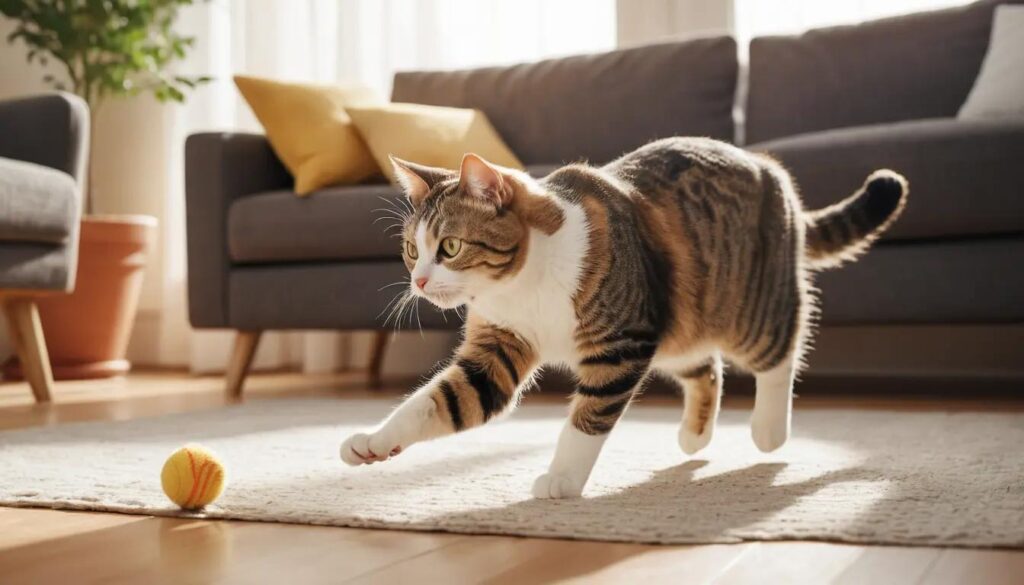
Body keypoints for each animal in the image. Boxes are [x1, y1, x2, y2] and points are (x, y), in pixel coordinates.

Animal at [339, 137, 909, 499]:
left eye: (451, 248)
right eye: (411, 250)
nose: (419, 282)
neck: (521, 287)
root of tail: (771, 168)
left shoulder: (622, 343)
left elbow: (587, 418)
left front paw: (563, 480)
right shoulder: (498, 347)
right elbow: (438, 402)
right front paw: (373, 442)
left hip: (748, 310)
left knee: (783, 346)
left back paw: (770, 428)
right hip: (677, 324)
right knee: (706, 370)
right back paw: (695, 436)